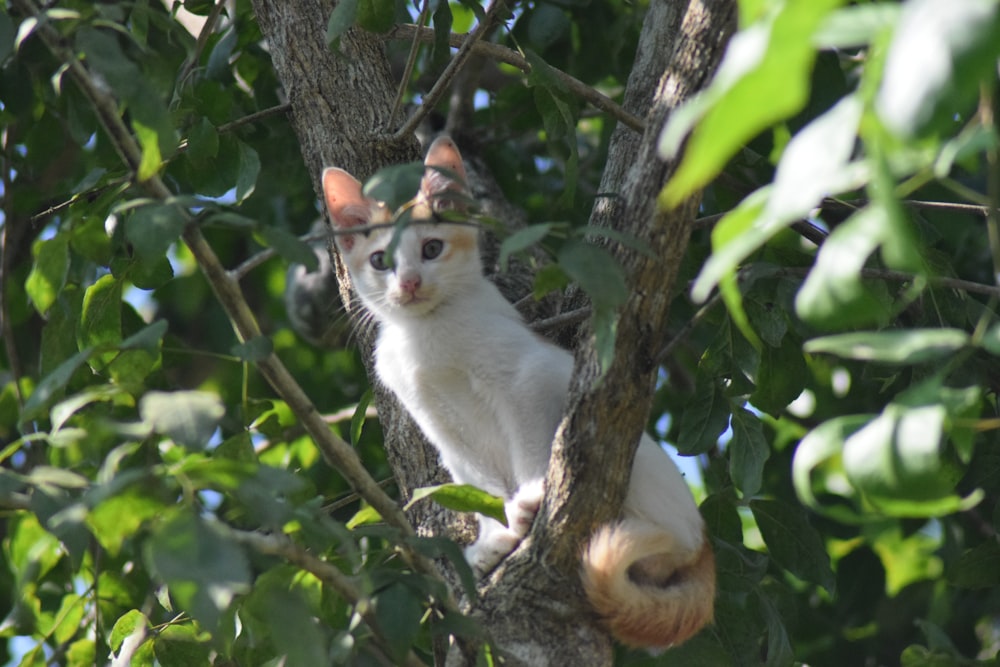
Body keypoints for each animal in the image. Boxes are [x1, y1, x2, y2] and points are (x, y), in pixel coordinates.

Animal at [320, 136, 712, 648]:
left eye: (431, 248)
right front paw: (496, 538)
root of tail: (705, 548)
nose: (409, 283)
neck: (425, 335)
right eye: (380, 261)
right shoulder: (437, 424)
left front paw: (530, 496)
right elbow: (476, 482)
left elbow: (527, 443)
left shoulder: (528, 376)